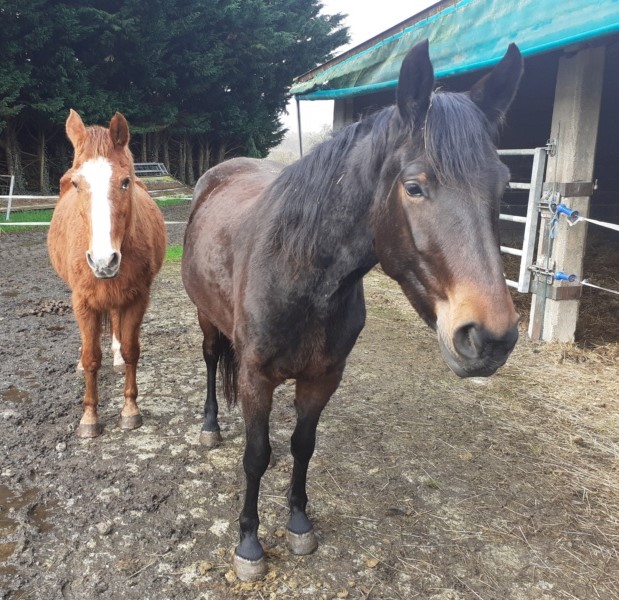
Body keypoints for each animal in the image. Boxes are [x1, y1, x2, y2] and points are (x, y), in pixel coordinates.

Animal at [48, 109, 166, 436]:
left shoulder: (137, 297)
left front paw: (130, 410)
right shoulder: (83, 301)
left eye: (125, 182)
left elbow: (131, 350)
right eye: (76, 184)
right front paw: (90, 417)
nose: (103, 261)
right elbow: (91, 358)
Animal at [183, 39, 524, 580]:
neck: (298, 271)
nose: (490, 338)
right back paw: (211, 427)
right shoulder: (257, 375)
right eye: (414, 186)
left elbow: (303, 445)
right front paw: (249, 544)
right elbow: (256, 456)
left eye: (504, 186)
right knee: (213, 360)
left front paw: (299, 523)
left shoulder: (324, 376)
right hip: (208, 319)